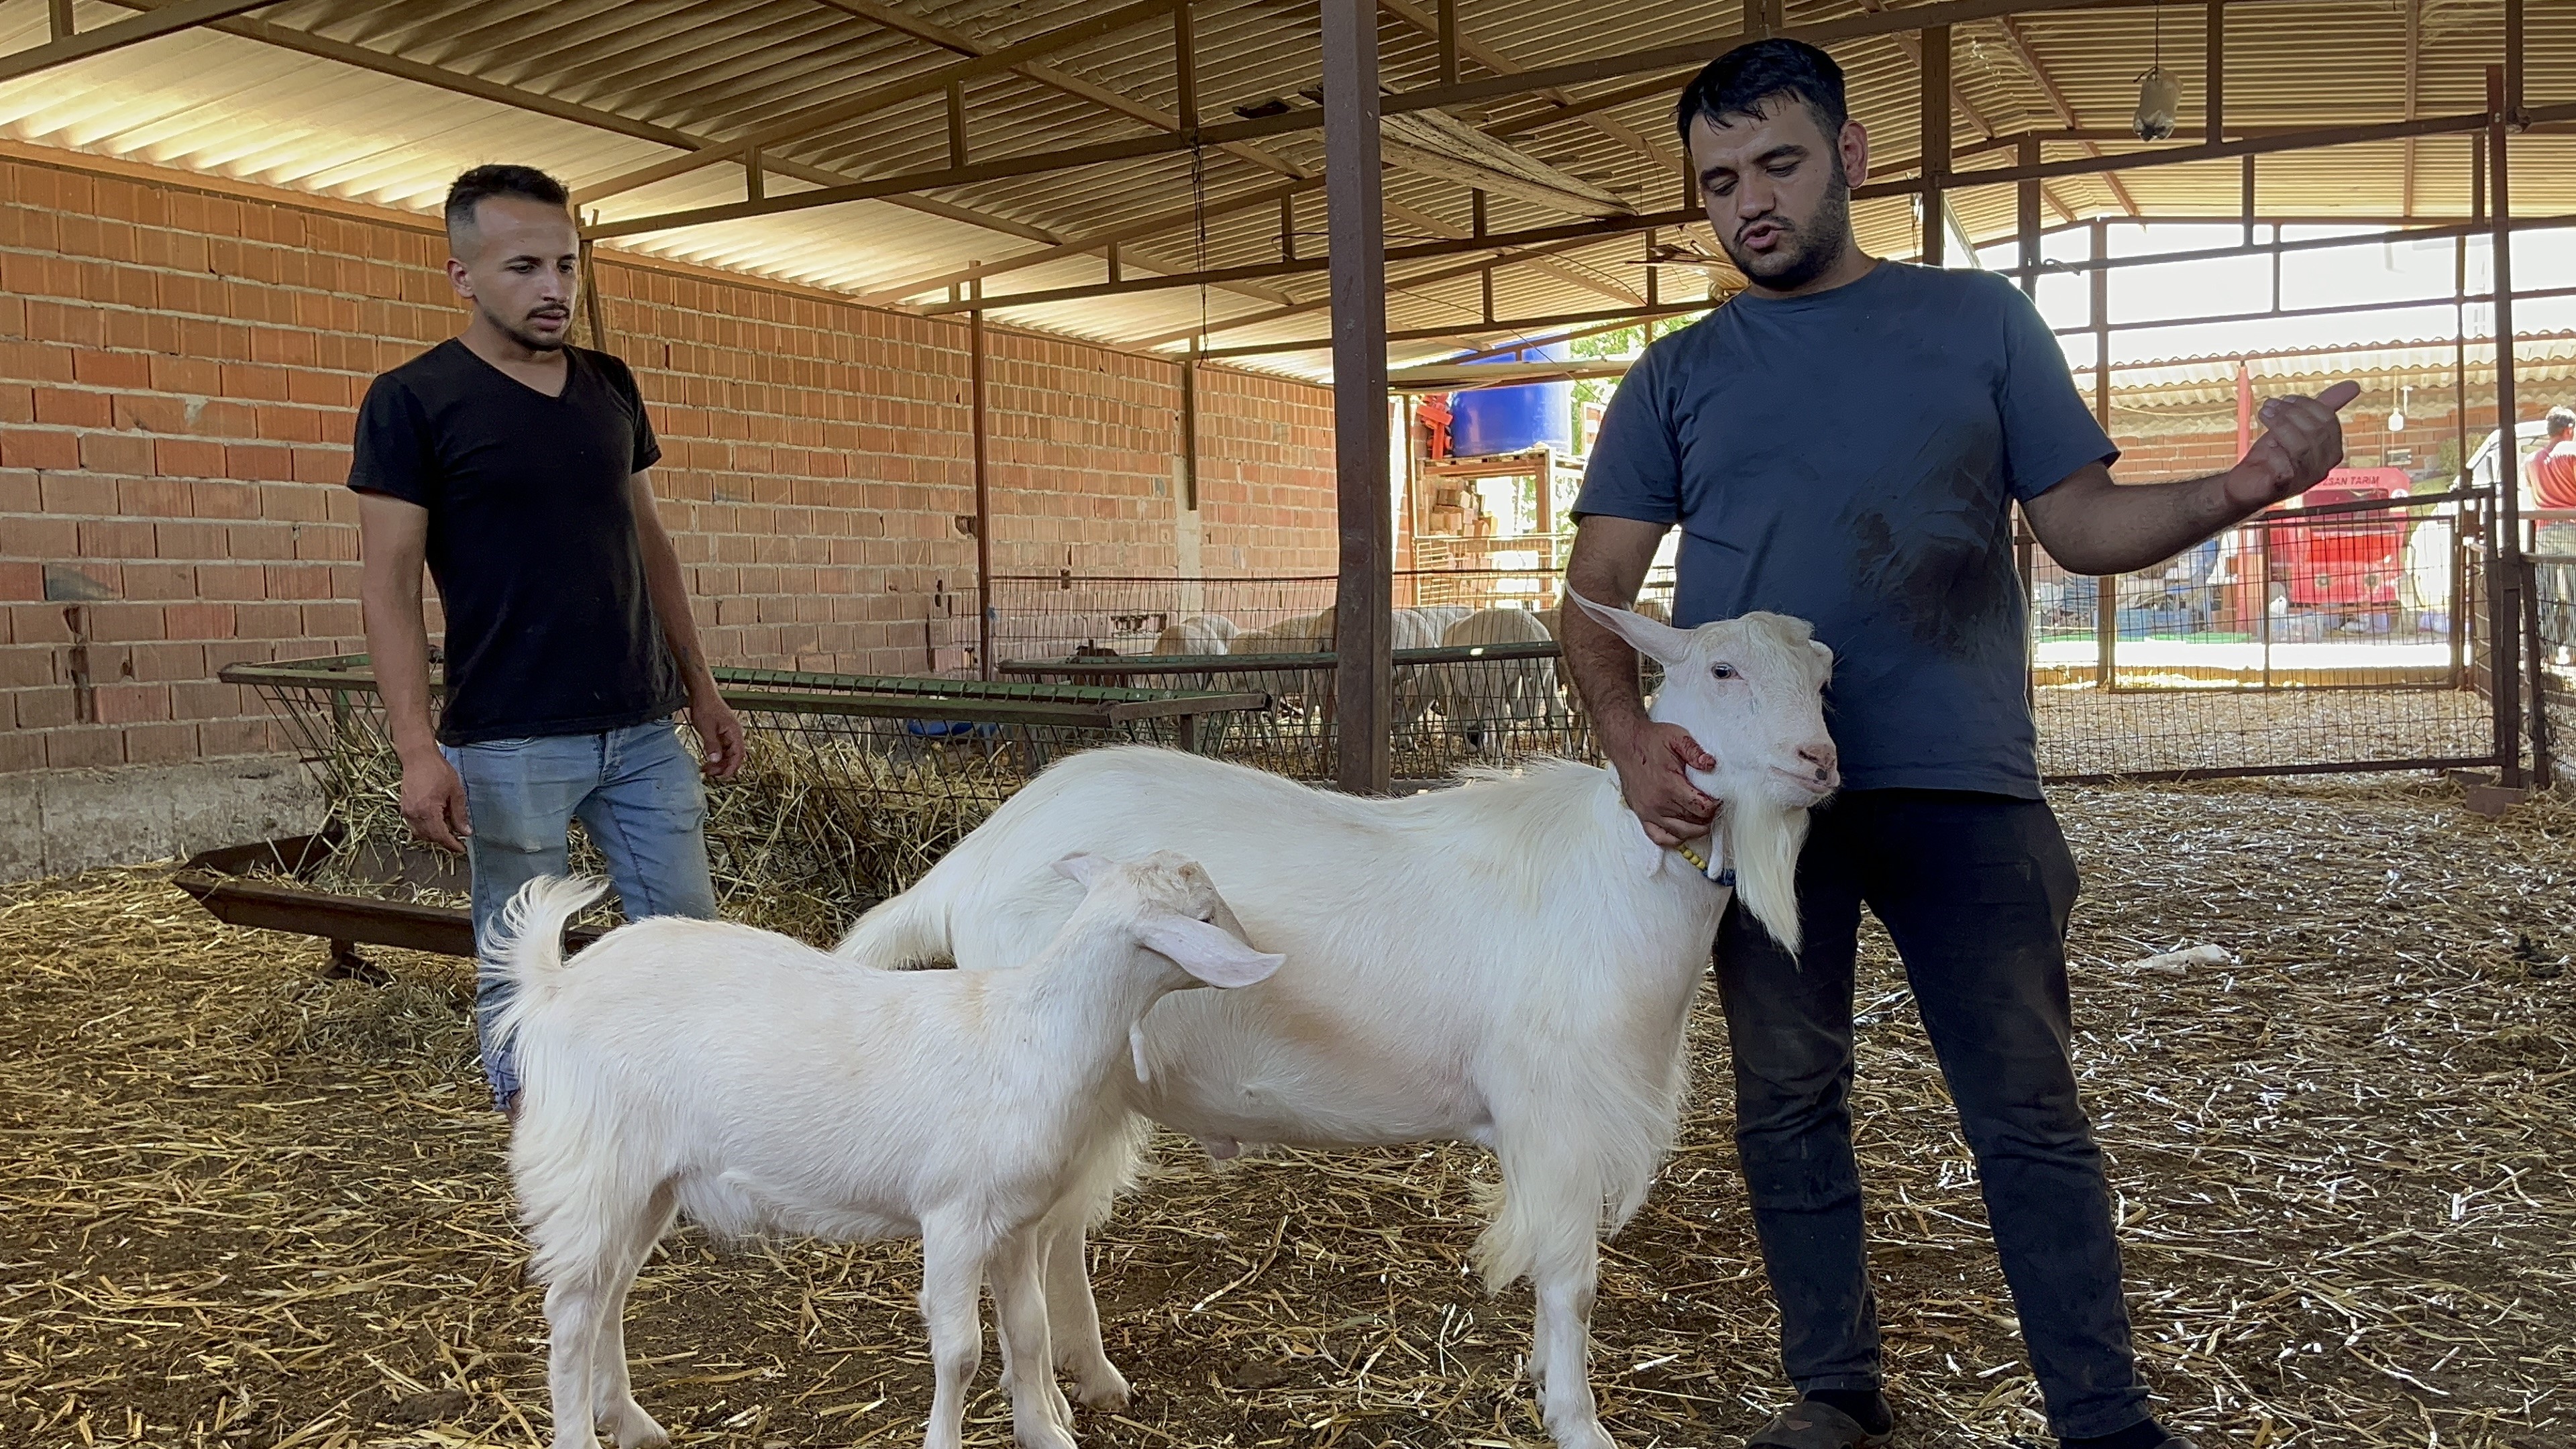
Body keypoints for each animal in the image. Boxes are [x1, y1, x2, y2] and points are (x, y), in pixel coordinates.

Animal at [494, 851, 1277, 1433]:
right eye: (1207, 917)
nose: (1262, 952)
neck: (1033, 1032)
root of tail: (553, 983)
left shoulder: (1014, 1224)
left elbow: (1028, 1331)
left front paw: (1045, 1433)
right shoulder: (954, 1217)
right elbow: (960, 1351)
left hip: (647, 1183)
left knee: (609, 1294)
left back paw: (629, 1422)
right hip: (591, 1168)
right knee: (570, 1314)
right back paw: (581, 1433)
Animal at [839, 595, 1834, 1444]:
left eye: (1825, 675)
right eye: (1722, 671)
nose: (1819, 763)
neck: (1619, 874)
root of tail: (967, 865)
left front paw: (1545, 1383)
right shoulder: (1557, 1115)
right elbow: (1571, 1281)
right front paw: (1579, 1421)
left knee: (1058, 1238)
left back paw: (1092, 1379)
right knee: (1029, 1244)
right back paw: (1045, 1406)